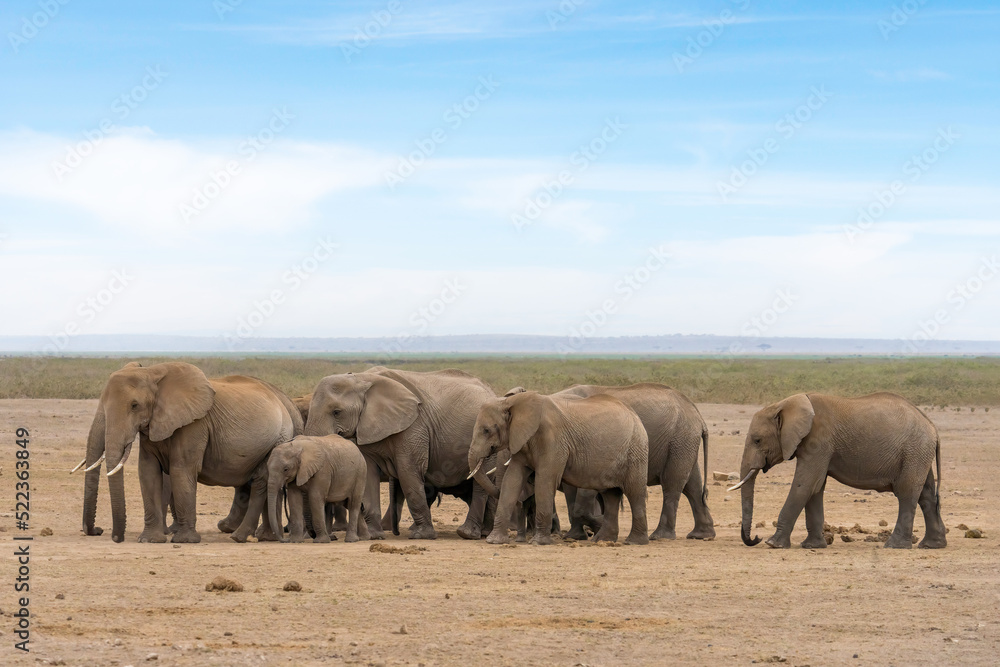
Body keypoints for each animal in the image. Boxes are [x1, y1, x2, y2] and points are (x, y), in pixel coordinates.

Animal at [77, 361, 302, 543]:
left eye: (134, 405)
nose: (101, 531)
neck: (151, 372)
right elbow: (148, 471)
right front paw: (150, 540)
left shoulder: (195, 424)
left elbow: (181, 469)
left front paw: (185, 540)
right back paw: (265, 536)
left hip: (279, 438)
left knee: (262, 481)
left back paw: (247, 537)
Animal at [305, 367, 497, 540]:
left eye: (336, 412)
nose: (320, 536)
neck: (361, 378)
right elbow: (369, 474)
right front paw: (374, 536)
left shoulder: (414, 426)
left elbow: (408, 471)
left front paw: (422, 536)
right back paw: (483, 532)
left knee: (481, 484)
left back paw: (468, 534)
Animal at [469, 390, 650, 545]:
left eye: (486, 430)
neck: (511, 402)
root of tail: (635, 416)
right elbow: (512, 480)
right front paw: (494, 541)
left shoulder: (553, 440)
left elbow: (545, 480)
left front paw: (538, 542)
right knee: (610, 494)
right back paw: (602, 540)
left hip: (636, 450)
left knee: (635, 492)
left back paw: (634, 542)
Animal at [556, 383, 715, 540]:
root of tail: (697, 414)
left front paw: (578, 535)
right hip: (684, 442)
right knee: (692, 485)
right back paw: (701, 535)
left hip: (680, 440)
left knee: (672, 483)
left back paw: (660, 536)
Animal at [731, 392, 946, 550]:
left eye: (757, 440)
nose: (755, 539)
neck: (785, 403)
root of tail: (933, 427)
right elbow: (815, 488)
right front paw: (813, 546)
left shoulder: (818, 441)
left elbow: (805, 485)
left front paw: (773, 544)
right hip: (918, 453)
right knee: (926, 495)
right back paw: (932, 545)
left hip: (914, 451)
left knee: (907, 493)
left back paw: (894, 546)